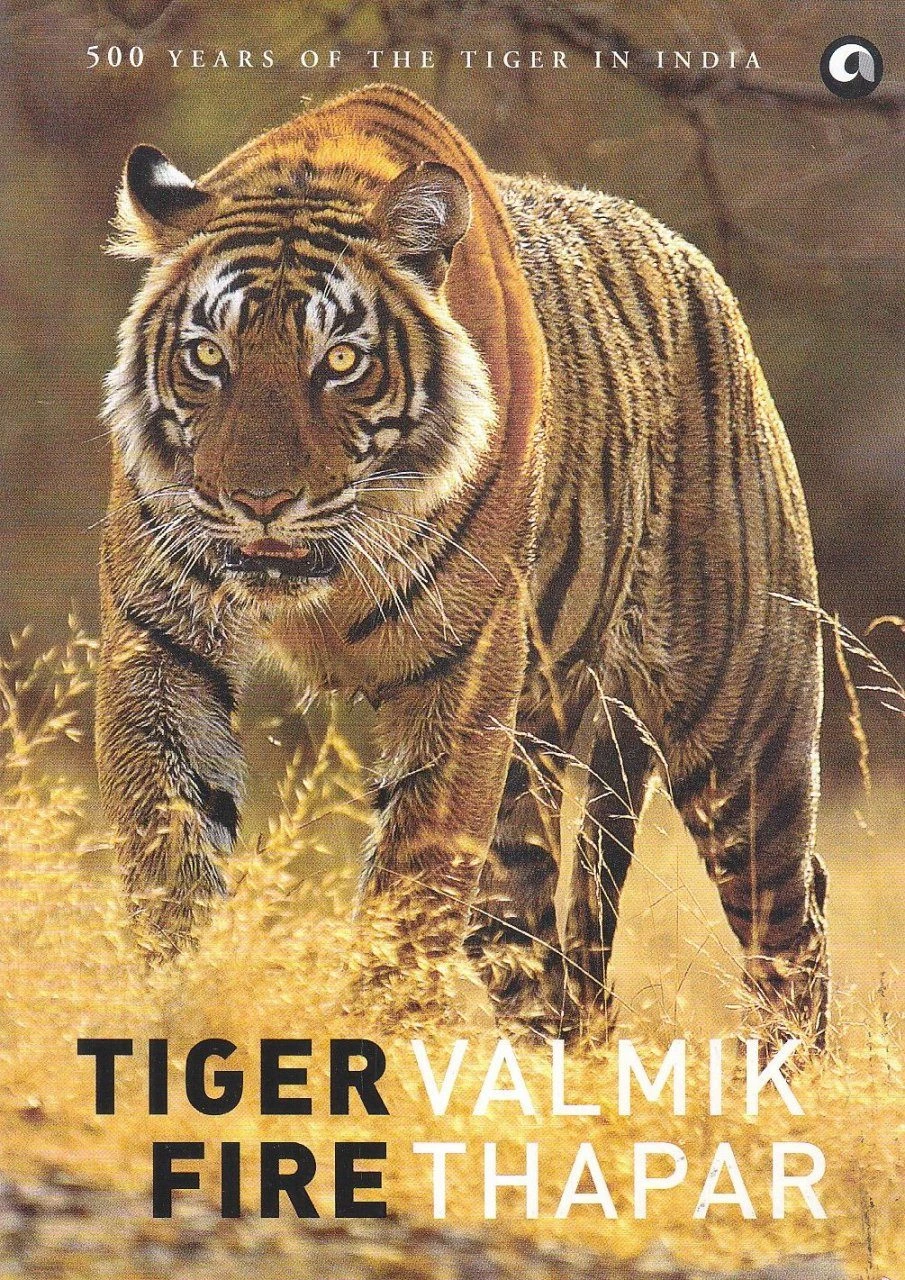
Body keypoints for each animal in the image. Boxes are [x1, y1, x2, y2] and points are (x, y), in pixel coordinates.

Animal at [98, 82, 828, 1046]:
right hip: (528, 792)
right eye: (208, 356)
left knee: (791, 920)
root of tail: (691, 260)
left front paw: (369, 1042)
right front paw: (180, 1016)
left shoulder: (462, 671)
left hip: (739, 721)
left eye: (340, 361)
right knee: (559, 978)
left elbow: (408, 896)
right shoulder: (161, 642)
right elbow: (171, 852)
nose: (259, 501)